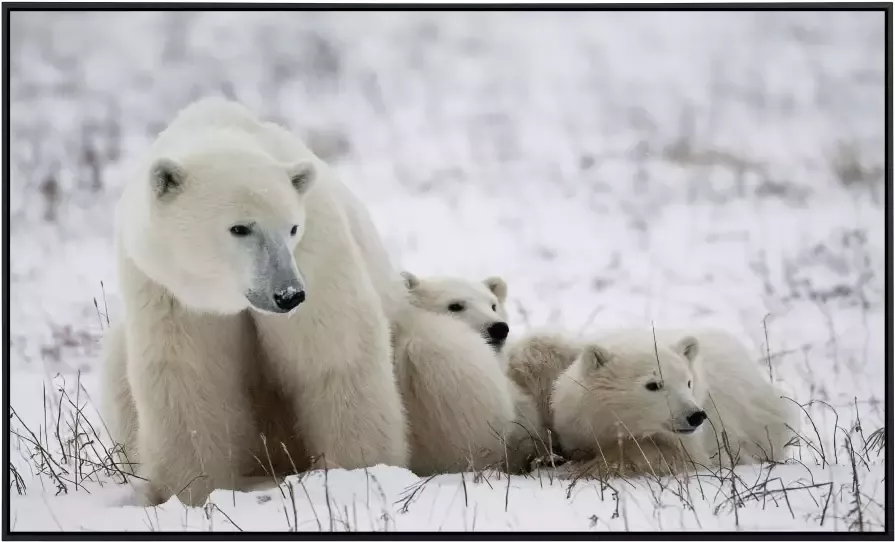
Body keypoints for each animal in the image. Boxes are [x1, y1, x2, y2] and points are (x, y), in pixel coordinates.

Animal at [106, 96, 410, 506]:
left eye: (292, 227)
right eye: (240, 228)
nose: (288, 294)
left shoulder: (317, 250)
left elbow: (333, 353)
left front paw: (360, 473)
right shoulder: (165, 289)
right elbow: (189, 376)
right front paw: (194, 491)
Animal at [552, 330, 800, 478]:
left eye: (688, 382)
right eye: (653, 385)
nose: (696, 415)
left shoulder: (694, 441)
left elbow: (671, 457)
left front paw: (596, 467)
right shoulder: (579, 428)